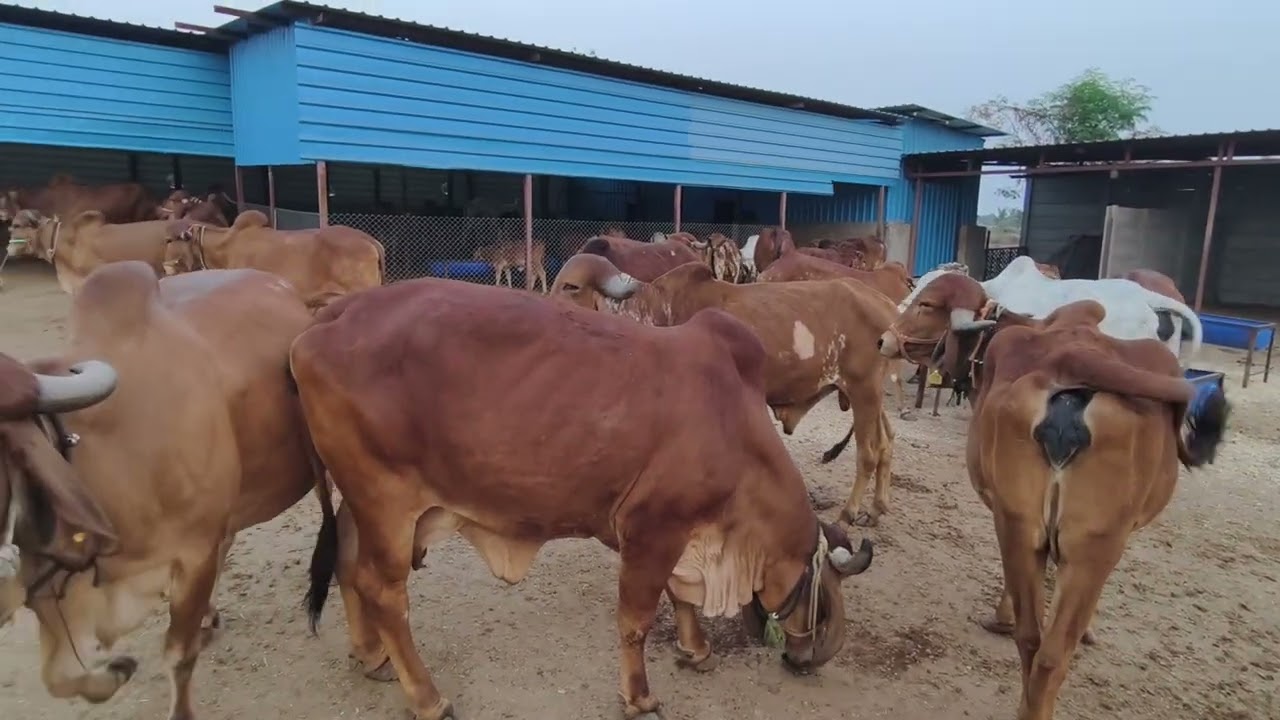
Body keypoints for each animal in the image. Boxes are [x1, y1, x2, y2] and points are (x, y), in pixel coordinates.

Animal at [290, 276, 875, 720]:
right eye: (824, 597)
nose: (805, 658)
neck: (736, 428)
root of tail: (330, 317)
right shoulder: (652, 528)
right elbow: (637, 620)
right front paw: (640, 697)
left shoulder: (679, 533)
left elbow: (681, 596)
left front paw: (697, 649)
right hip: (386, 502)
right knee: (385, 593)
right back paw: (429, 698)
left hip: (361, 502)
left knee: (348, 565)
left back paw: (372, 658)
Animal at [550, 254, 899, 527]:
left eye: (571, 287)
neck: (654, 310)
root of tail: (886, 306)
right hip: (870, 397)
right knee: (885, 444)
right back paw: (876, 509)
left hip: (863, 391)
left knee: (868, 454)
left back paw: (849, 513)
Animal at [879, 294, 1228, 720]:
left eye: (927, 309)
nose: (886, 339)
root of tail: (1073, 358)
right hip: (1091, 544)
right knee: (1052, 652)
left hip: (1022, 525)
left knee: (1033, 641)